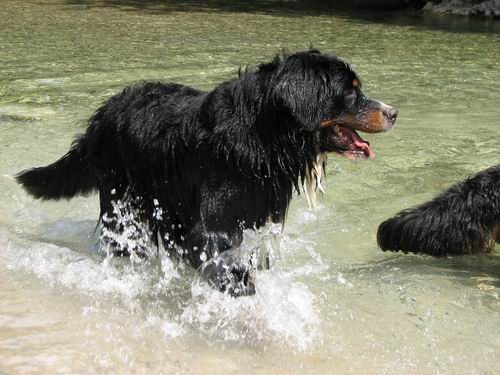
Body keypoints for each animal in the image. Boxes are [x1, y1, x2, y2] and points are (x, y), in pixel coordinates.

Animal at [16, 50, 398, 296]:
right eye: (349, 91)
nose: (393, 112)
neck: (263, 137)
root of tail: (102, 114)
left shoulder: (257, 217)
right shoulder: (211, 222)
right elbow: (222, 258)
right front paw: (240, 289)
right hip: (124, 203)